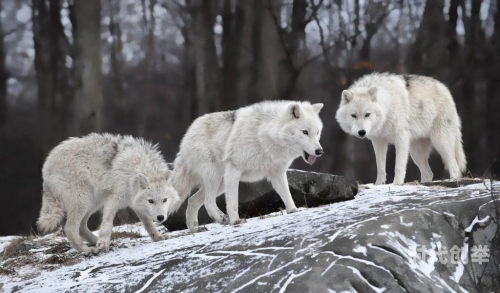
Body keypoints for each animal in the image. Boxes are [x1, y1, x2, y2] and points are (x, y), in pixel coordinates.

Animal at [38, 133, 181, 252]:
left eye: (164, 200)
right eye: (151, 201)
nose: (161, 218)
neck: (134, 170)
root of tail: (45, 168)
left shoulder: (135, 202)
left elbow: (148, 224)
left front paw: (158, 237)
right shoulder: (113, 199)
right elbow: (107, 223)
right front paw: (103, 244)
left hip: (92, 203)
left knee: (81, 227)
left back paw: (94, 242)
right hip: (83, 201)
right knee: (70, 228)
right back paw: (86, 250)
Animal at [172, 100, 324, 233]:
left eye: (317, 132)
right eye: (305, 132)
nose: (320, 151)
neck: (265, 134)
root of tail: (188, 134)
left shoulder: (277, 174)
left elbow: (287, 195)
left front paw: (293, 211)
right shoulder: (234, 169)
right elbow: (233, 202)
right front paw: (235, 221)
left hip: (220, 183)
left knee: (192, 200)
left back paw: (195, 229)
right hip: (215, 177)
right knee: (208, 201)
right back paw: (221, 219)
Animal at [334, 72, 466, 184]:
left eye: (367, 114)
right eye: (353, 115)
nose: (362, 132)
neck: (387, 106)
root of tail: (445, 88)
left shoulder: (401, 138)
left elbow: (398, 166)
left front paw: (396, 184)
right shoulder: (379, 142)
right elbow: (380, 168)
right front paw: (378, 185)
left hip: (440, 142)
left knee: (454, 167)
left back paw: (454, 180)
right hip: (416, 153)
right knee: (428, 173)